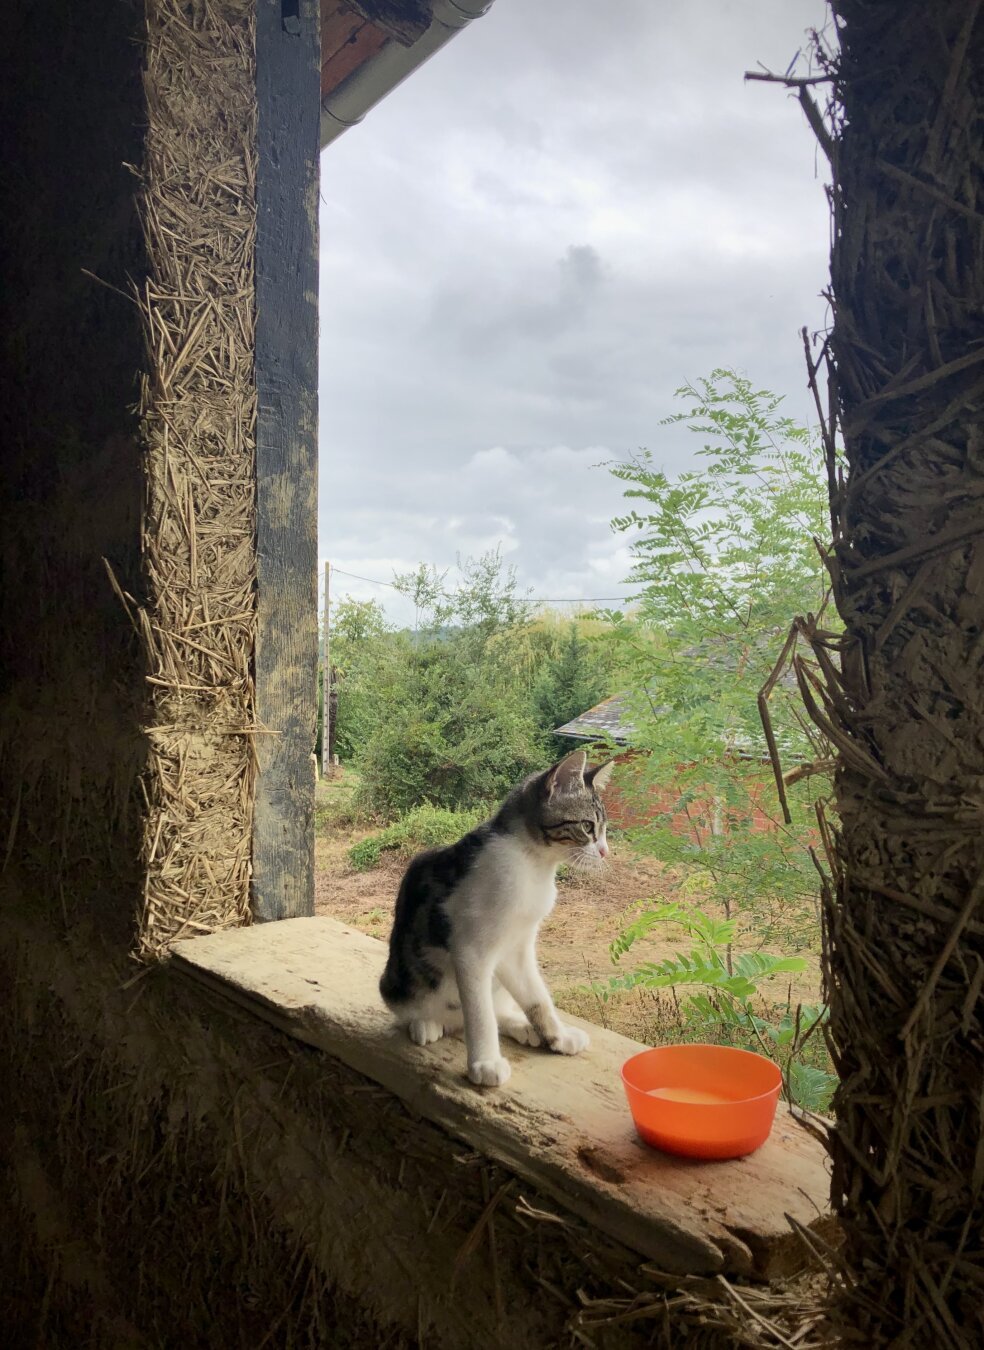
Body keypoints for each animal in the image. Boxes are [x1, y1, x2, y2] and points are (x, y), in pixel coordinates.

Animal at [380, 750, 610, 1085]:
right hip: (398, 984)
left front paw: (558, 1035)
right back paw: (426, 1023)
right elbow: (480, 1012)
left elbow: (536, 997)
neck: (532, 864)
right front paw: (485, 1062)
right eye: (588, 826)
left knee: (499, 1004)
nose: (605, 851)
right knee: (426, 1008)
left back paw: (520, 1025)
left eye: (604, 828)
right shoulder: (470, 950)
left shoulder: (517, 946)